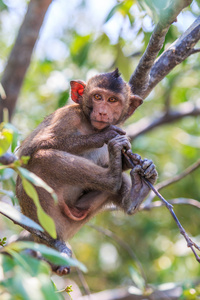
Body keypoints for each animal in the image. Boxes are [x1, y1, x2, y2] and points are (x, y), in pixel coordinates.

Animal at [15, 69, 158, 276]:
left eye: (112, 100)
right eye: (98, 97)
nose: (103, 111)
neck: (89, 124)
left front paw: (137, 162)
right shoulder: (68, 116)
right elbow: (30, 151)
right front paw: (104, 136)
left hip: (77, 215)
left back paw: (134, 194)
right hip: (46, 216)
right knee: (42, 158)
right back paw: (111, 178)